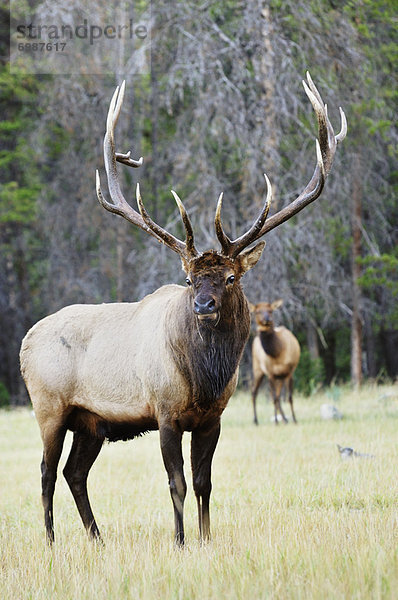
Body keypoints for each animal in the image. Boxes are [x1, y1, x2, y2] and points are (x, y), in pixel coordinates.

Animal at [20, 72, 346, 548]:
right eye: (191, 279)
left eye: (230, 278)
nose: (203, 305)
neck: (205, 378)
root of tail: (24, 343)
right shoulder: (165, 412)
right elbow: (175, 482)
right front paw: (179, 541)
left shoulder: (212, 418)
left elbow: (204, 481)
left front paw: (207, 538)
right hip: (49, 405)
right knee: (45, 471)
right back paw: (50, 542)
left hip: (92, 421)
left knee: (73, 473)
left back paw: (97, 538)